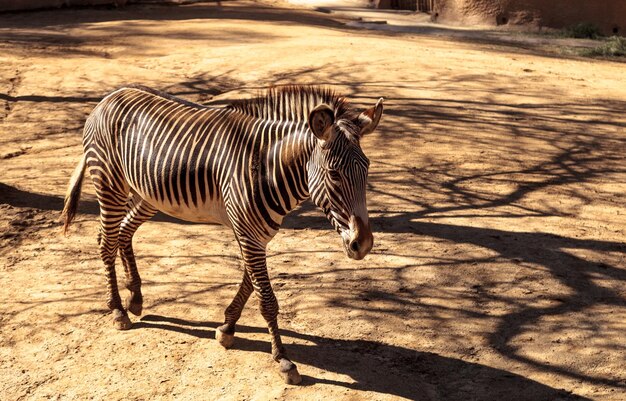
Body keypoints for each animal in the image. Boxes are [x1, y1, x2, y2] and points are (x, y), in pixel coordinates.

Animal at [64, 84, 386, 382]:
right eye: (334, 174)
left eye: (367, 168)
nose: (363, 244)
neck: (267, 167)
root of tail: (111, 95)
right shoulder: (248, 233)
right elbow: (267, 299)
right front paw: (283, 360)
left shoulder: (255, 234)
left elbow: (248, 284)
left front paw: (227, 328)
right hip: (110, 183)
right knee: (106, 242)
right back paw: (118, 310)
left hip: (147, 194)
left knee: (123, 232)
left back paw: (135, 298)